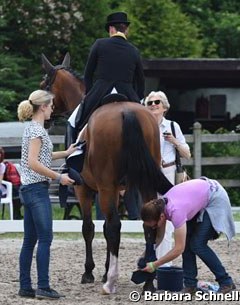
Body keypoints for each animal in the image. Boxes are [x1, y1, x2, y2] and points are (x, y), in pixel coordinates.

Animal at [41, 53, 172, 294]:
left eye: (44, 85)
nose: (45, 119)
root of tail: (126, 112)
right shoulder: (120, 191)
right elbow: (102, 226)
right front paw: (103, 270)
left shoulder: (85, 189)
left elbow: (89, 228)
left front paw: (90, 272)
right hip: (144, 184)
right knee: (148, 221)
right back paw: (148, 280)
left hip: (105, 186)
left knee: (114, 227)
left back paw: (111, 281)